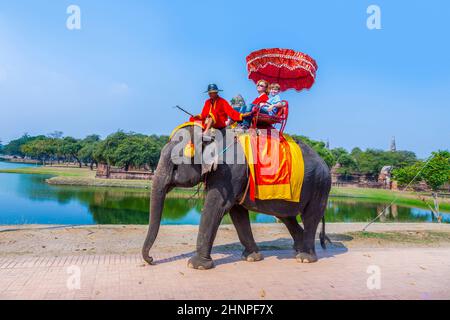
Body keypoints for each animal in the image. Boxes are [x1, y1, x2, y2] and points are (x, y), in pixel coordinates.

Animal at [142, 125, 332, 270]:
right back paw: (297, 250)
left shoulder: (229, 171)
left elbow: (217, 206)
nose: (151, 260)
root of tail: (324, 163)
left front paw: (197, 265)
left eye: (175, 165)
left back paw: (305, 258)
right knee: (286, 217)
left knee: (310, 217)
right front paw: (252, 257)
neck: (209, 134)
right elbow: (237, 212)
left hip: (320, 186)